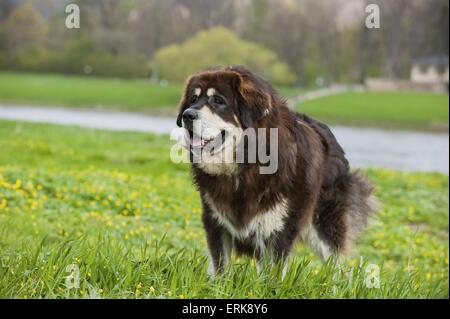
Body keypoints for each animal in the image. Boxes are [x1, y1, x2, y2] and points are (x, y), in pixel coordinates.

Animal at [175, 65, 376, 278]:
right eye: (193, 99)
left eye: (218, 101)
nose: (187, 115)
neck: (246, 167)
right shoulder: (215, 221)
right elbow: (219, 265)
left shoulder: (279, 228)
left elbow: (275, 274)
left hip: (325, 226)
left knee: (336, 266)